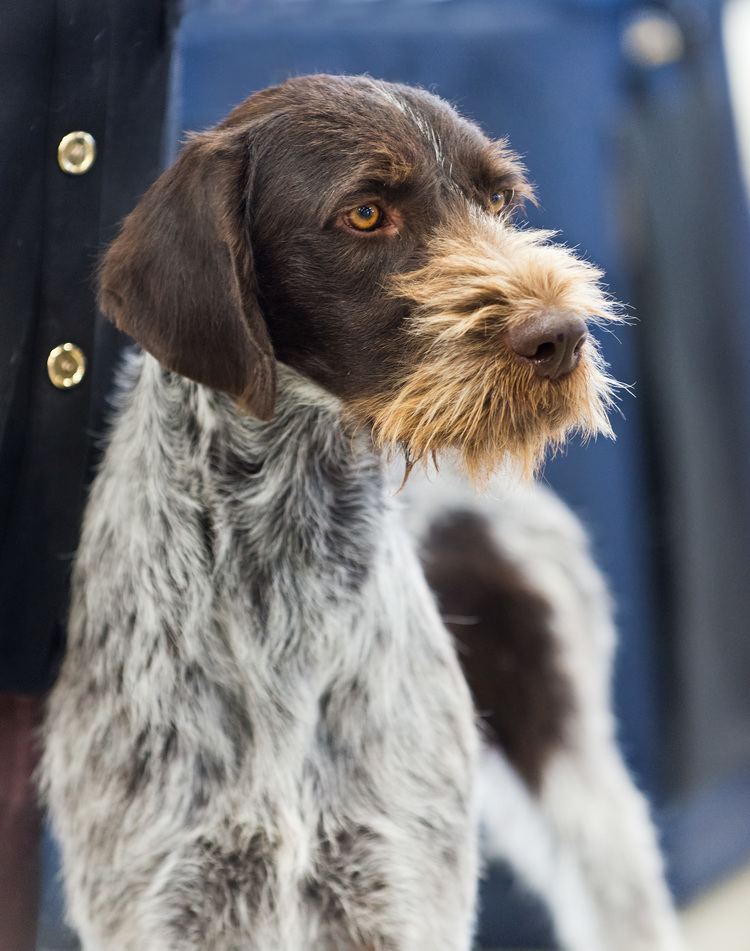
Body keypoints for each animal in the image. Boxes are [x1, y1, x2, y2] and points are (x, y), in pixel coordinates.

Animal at [42, 76, 680, 951]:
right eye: (366, 214)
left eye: (498, 201)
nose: (562, 337)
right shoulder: (165, 898)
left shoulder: (396, 884)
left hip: (580, 786)